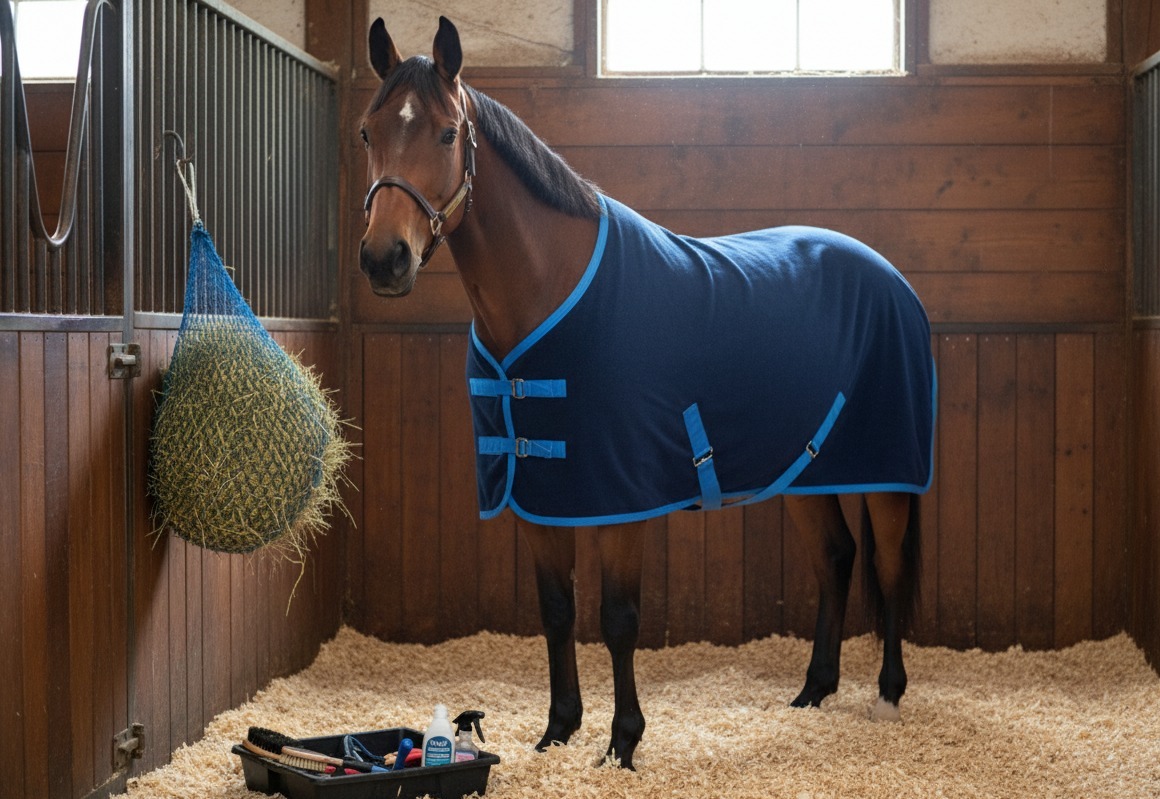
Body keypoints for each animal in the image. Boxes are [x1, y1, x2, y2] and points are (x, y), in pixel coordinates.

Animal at [357, 16, 934, 770]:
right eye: (368, 132)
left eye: (448, 133)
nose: (383, 259)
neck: (546, 291)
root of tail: (890, 278)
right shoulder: (540, 489)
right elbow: (557, 611)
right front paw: (558, 730)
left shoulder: (620, 500)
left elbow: (619, 618)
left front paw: (623, 742)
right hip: (807, 470)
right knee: (836, 558)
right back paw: (813, 690)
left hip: (888, 470)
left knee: (889, 567)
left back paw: (888, 694)